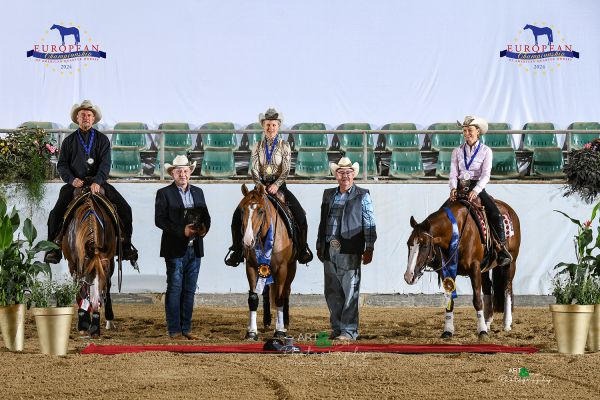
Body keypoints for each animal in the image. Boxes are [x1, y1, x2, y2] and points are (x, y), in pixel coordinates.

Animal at [62, 191, 117, 338]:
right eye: (88, 277)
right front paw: (83, 322)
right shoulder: (74, 264)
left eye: (102, 278)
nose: (94, 302)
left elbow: (107, 287)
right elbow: (80, 288)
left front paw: (95, 324)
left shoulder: (108, 262)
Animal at [238, 184, 296, 338]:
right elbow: (253, 298)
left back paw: (285, 322)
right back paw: (266, 321)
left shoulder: (282, 268)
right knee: (265, 293)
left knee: (286, 291)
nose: (248, 241)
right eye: (242, 210)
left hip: (291, 268)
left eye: (261, 211)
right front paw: (252, 332)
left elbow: (279, 297)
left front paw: (280, 330)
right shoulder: (251, 267)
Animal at [404, 199, 520, 338]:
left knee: (507, 288)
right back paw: (487, 322)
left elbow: (477, 300)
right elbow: (450, 302)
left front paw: (482, 331)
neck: (458, 232)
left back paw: (506, 323)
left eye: (425, 245)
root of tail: (509, 210)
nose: (409, 276)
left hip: (510, 263)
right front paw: (448, 330)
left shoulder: (474, 268)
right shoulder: (447, 271)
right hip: (485, 269)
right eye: (408, 243)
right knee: (487, 287)